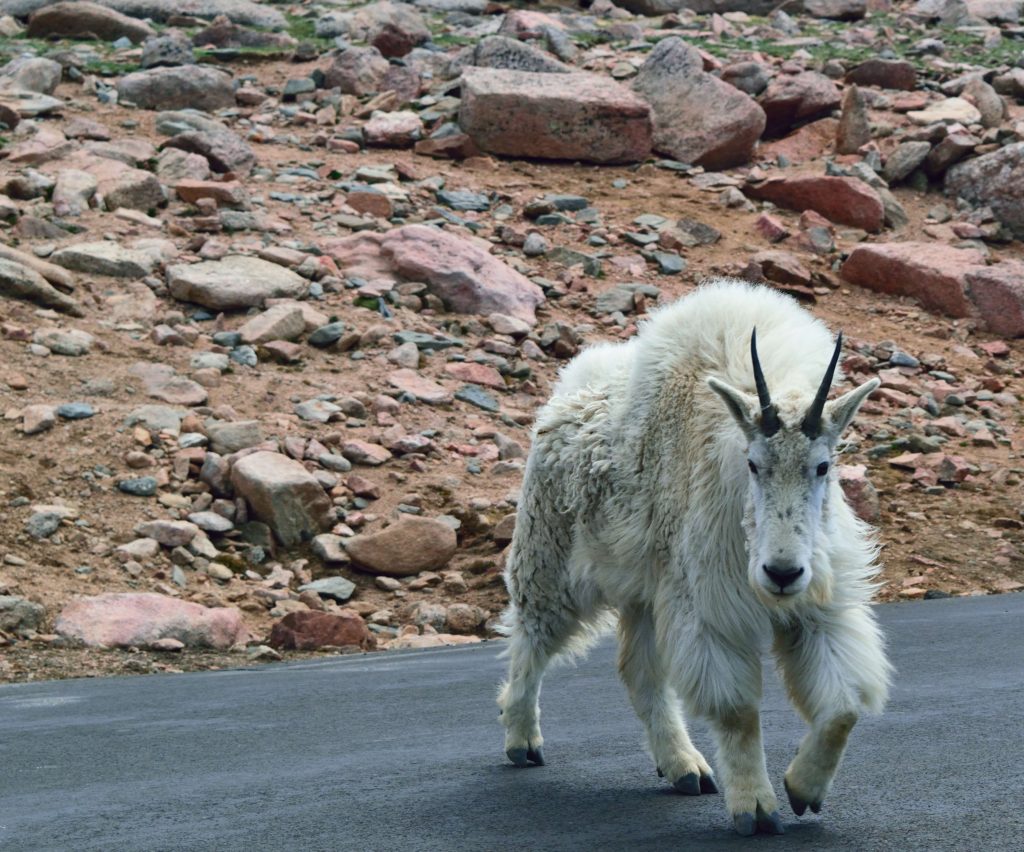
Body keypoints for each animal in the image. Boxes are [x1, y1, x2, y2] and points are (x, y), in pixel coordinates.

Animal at [499, 278, 892, 831]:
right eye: (753, 464)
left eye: (822, 466)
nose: (782, 573)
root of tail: (566, 391)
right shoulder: (708, 605)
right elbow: (737, 711)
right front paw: (756, 808)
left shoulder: (819, 607)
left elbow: (843, 708)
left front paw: (803, 789)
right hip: (549, 557)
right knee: (530, 640)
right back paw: (521, 738)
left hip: (643, 588)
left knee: (639, 671)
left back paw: (684, 767)